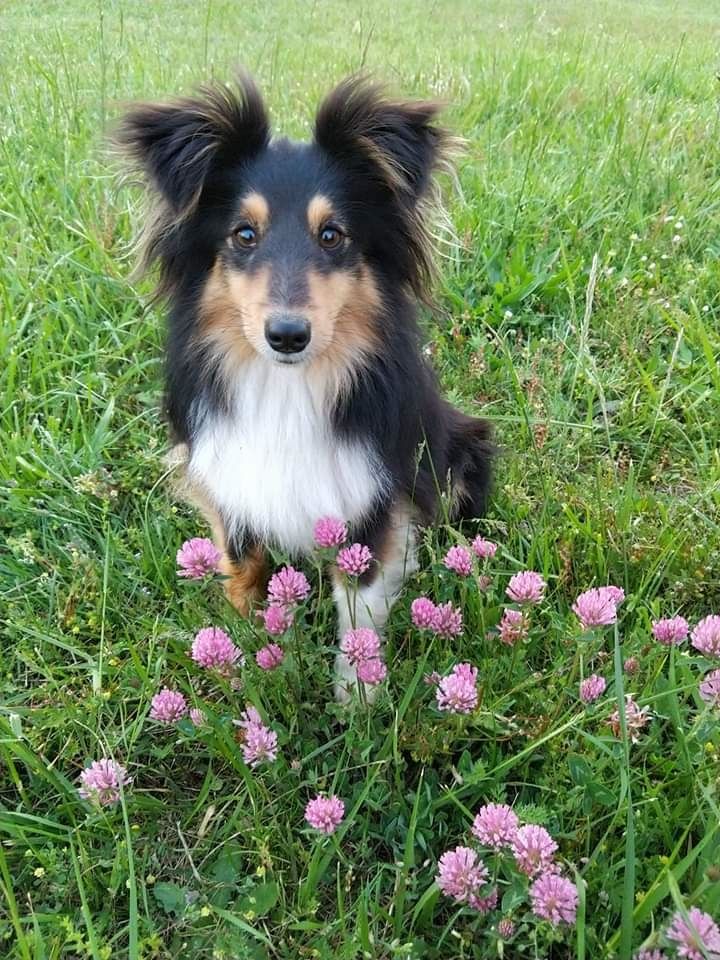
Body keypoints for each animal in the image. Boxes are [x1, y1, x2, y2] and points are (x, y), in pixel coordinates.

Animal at [118, 73, 492, 696]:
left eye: (333, 235)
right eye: (244, 234)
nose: (287, 335)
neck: (286, 388)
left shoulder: (370, 498)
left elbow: (359, 609)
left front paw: (356, 698)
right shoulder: (230, 478)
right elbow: (243, 565)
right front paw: (243, 650)